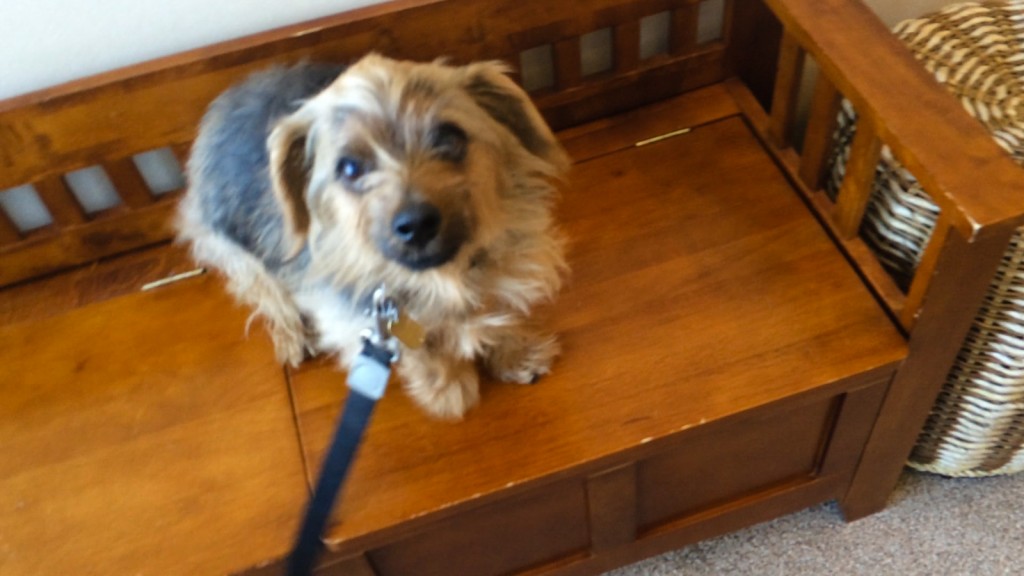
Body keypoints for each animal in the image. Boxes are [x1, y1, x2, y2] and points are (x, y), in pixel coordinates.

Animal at [179, 54, 573, 416]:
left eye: (450, 138)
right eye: (350, 167)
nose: (416, 224)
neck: (444, 276)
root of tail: (228, 97)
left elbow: (501, 305)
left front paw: (517, 354)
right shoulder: (361, 320)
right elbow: (421, 353)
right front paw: (447, 389)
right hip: (237, 251)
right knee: (270, 297)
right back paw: (295, 337)